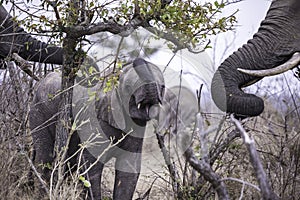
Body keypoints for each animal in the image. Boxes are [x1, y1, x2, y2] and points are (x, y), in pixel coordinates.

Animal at [29, 57, 165, 199]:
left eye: (163, 87)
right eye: (128, 87)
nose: (138, 59)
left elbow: (129, 166)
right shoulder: (95, 118)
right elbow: (89, 162)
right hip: (38, 113)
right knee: (45, 157)